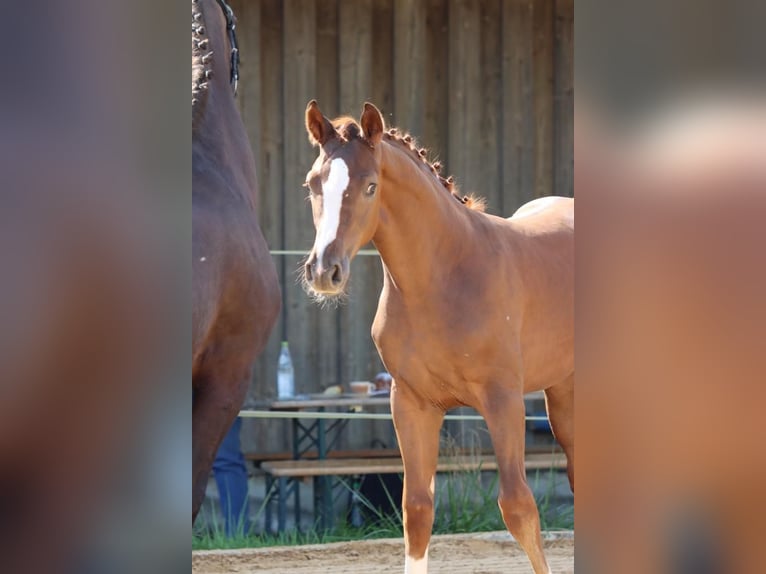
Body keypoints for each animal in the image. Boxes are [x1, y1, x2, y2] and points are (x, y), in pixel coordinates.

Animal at [304, 101, 572, 572]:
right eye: (312, 185)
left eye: (371, 186)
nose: (323, 271)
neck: (445, 276)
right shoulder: (412, 403)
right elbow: (416, 509)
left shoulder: (503, 400)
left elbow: (519, 507)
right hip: (562, 391)